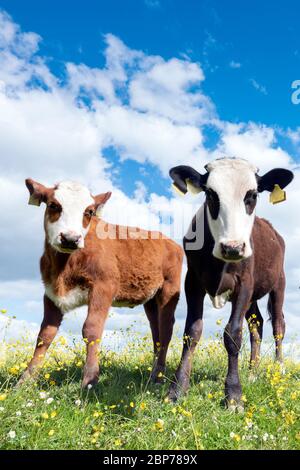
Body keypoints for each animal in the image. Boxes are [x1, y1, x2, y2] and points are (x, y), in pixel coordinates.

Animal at [20, 178, 183, 388]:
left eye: (89, 212)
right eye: (53, 205)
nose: (70, 238)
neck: (63, 269)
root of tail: (169, 240)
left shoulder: (104, 287)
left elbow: (91, 329)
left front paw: (90, 381)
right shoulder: (50, 293)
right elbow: (44, 335)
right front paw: (24, 380)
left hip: (169, 290)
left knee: (166, 329)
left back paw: (159, 378)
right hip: (150, 300)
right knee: (157, 332)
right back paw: (154, 374)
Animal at [169, 157, 292, 408]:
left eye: (252, 195)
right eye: (210, 194)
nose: (233, 247)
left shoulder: (244, 283)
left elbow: (233, 335)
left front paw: (234, 394)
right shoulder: (192, 281)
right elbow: (191, 333)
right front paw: (177, 389)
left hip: (279, 284)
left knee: (278, 326)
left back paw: (279, 368)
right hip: (254, 295)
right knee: (256, 325)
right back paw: (253, 373)